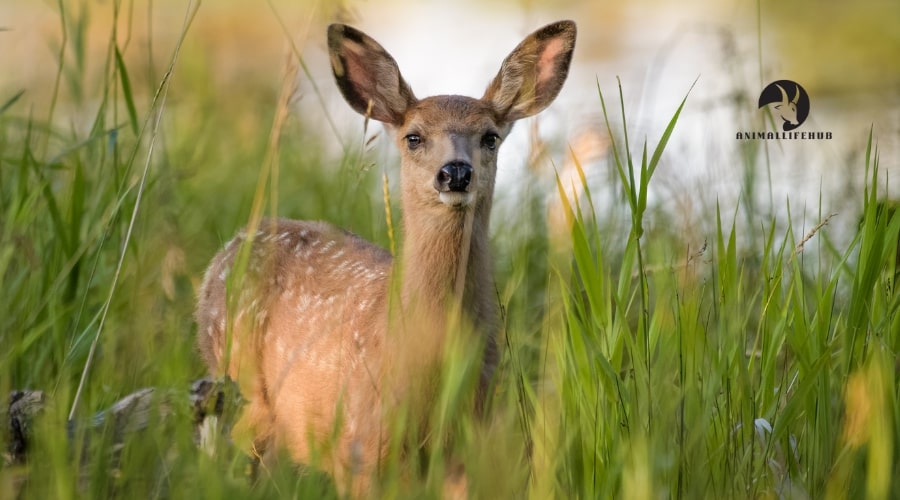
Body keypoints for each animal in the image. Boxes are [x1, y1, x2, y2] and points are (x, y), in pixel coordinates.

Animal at [195, 19, 576, 496]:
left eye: (490, 137)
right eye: (414, 137)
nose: (455, 172)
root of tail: (226, 251)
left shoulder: (468, 450)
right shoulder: (360, 451)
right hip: (241, 381)